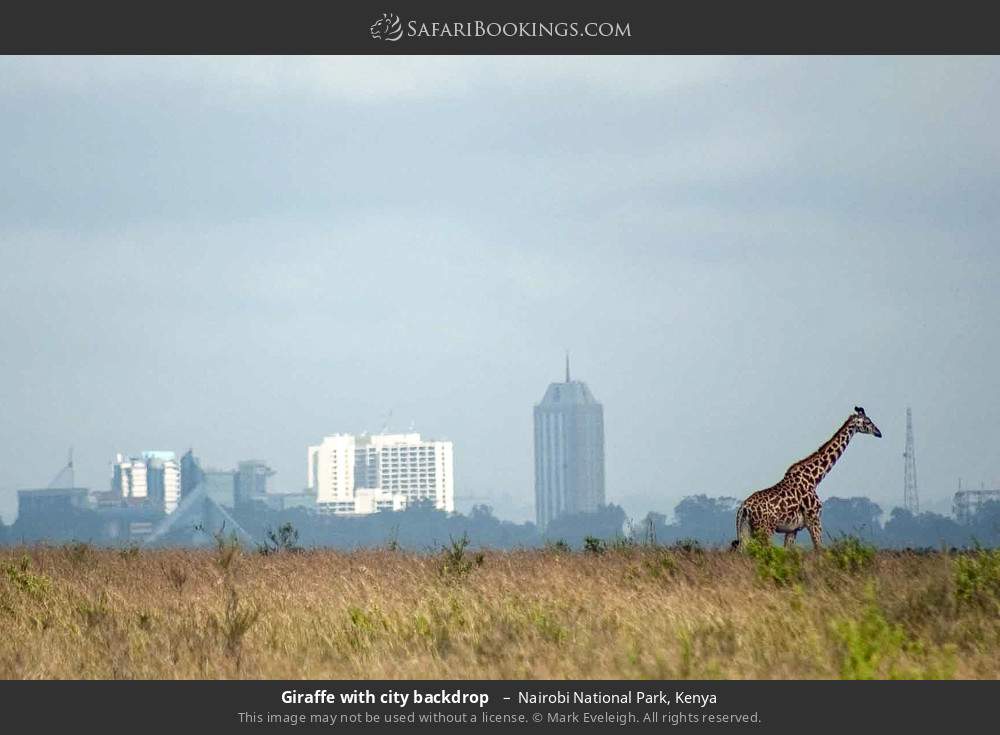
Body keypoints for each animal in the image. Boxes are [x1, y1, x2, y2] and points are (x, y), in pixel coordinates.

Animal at [733, 407, 882, 550]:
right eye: (868, 421)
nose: (879, 433)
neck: (814, 478)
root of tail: (743, 508)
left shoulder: (793, 529)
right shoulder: (814, 520)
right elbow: (819, 549)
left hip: (747, 529)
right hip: (765, 529)